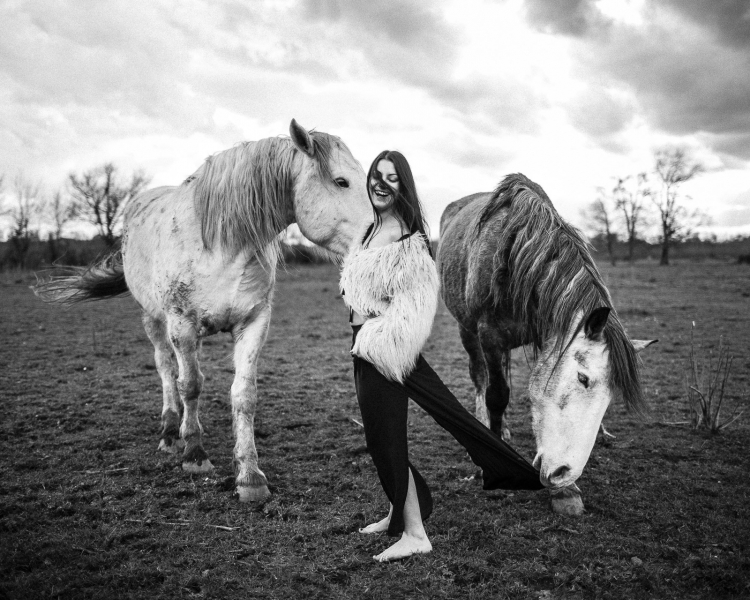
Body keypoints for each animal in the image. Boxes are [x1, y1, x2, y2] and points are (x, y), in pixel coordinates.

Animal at [34, 119, 374, 504]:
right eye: (342, 181)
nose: (379, 235)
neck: (222, 246)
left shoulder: (253, 323)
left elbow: (243, 395)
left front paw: (249, 476)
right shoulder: (182, 325)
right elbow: (191, 385)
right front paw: (194, 454)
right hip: (154, 320)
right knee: (167, 370)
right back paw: (170, 432)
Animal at [438, 175, 656, 516]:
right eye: (583, 378)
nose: (564, 473)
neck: (516, 257)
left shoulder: (547, 336)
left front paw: (566, 491)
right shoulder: (489, 335)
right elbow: (497, 395)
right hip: (467, 331)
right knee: (480, 378)